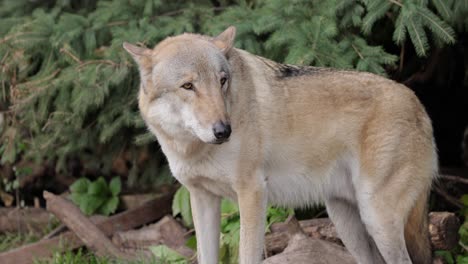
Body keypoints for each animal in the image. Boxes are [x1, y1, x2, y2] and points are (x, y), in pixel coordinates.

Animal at [122, 25, 436, 264]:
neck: (194, 149)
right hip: (347, 222)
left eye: (222, 81)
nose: (224, 131)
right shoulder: (202, 199)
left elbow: (247, 256)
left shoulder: (252, 194)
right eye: (188, 86)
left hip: (377, 219)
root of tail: (419, 104)